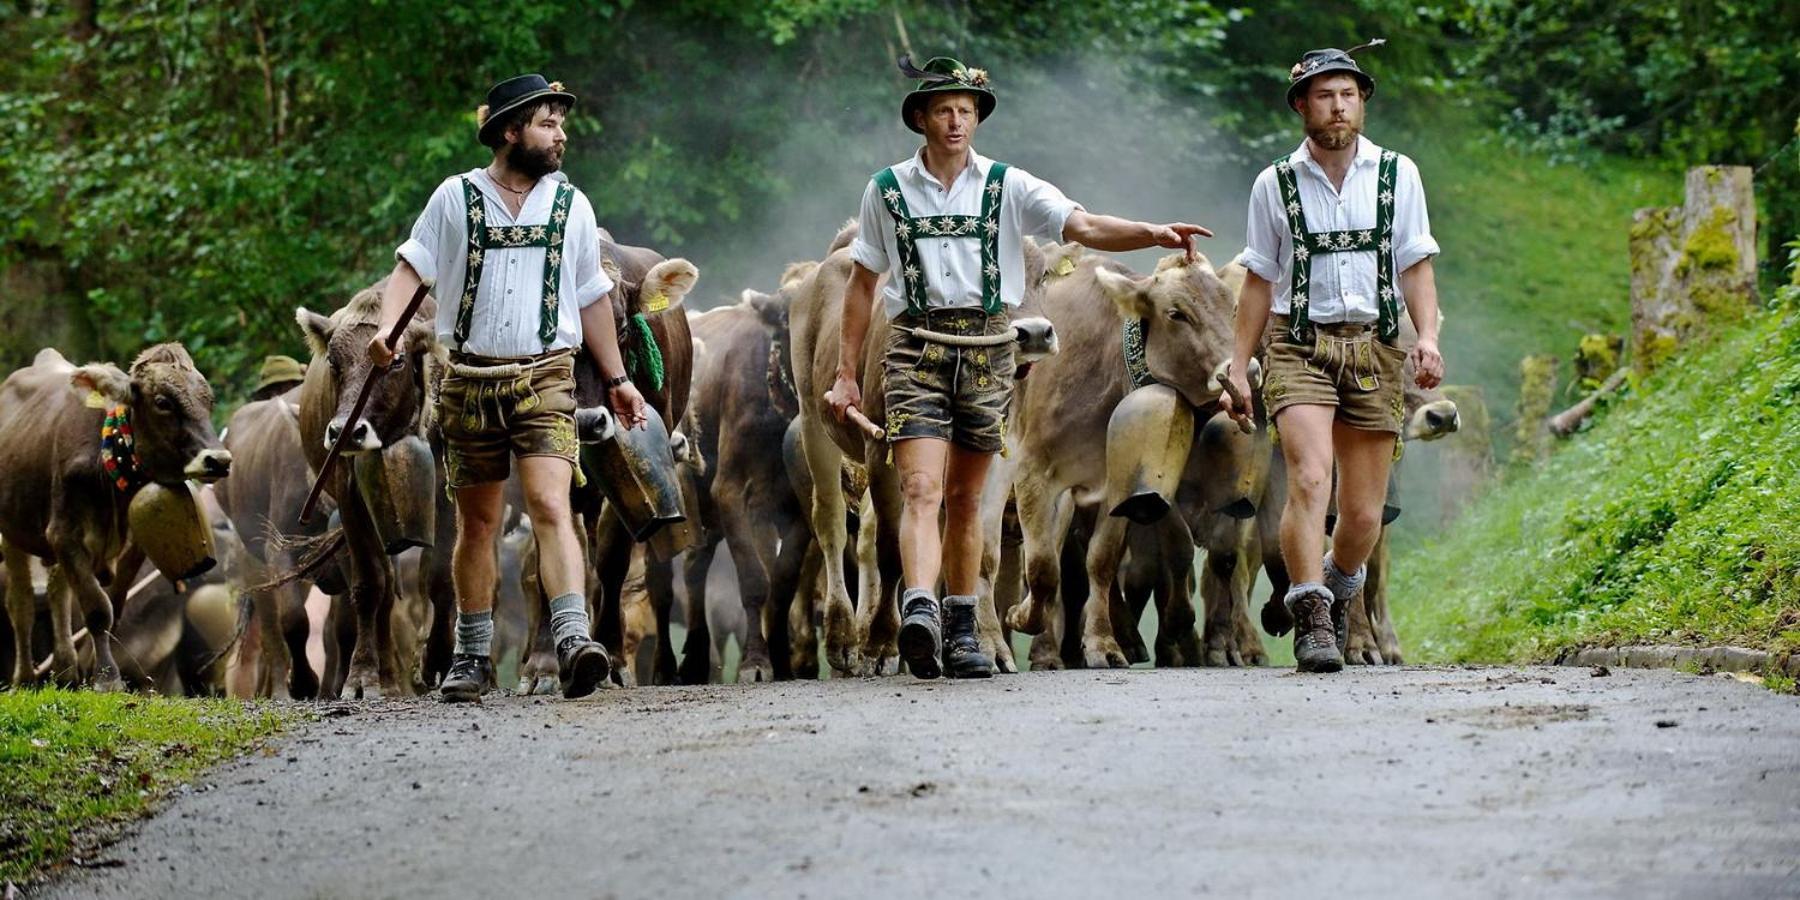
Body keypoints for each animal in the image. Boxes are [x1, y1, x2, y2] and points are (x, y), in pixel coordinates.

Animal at [0, 345, 232, 687]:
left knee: (58, 595)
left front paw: (93, 668)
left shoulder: (132, 544)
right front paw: (107, 678)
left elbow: (114, 605)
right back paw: (26, 677)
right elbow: (97, 609)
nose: (219, 460)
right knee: (22, 603)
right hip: (12, 532)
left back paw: (66, 669)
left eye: (209, 400)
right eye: (162, 402)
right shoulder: (64, 534)